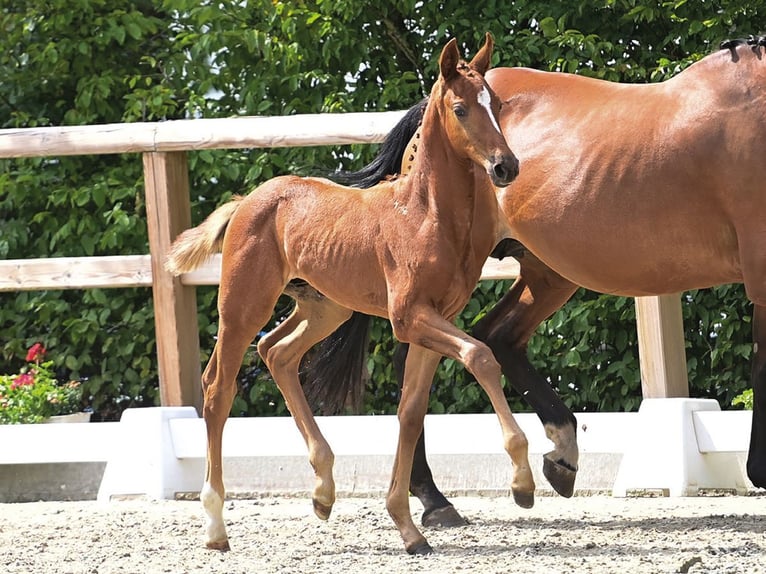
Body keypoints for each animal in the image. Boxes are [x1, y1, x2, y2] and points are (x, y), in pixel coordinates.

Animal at [166, 33, 533, 555]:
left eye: (497, 104)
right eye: (461, 108)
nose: (506, 166)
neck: (423, 215)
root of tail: (246, 202)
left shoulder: (432, 320)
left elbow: (410, 411)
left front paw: (408, 526)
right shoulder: (409, 318)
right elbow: (481, 356)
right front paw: (523, 484)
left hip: (325, 308)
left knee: (276, 352)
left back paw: (323, 491)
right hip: (242, 306)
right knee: (218, 387)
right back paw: (216, 525)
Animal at [300, 35, 766, 526]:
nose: (506, 166)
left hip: (547, 272)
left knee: (495, 337)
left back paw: (558, 455)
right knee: (426, 356)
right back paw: (434, 498)